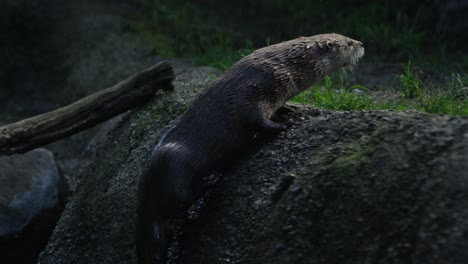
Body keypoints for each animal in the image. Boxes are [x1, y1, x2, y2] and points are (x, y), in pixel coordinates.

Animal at [137, 33, 364, 264]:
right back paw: (207, 185)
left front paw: (290, 108)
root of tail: (144, 194)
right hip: (173, 164)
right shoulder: (253, 92)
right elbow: (255, 119)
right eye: (348, 43)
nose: (362, 44)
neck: (286, 67)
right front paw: (285, 124)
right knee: (182, 196)